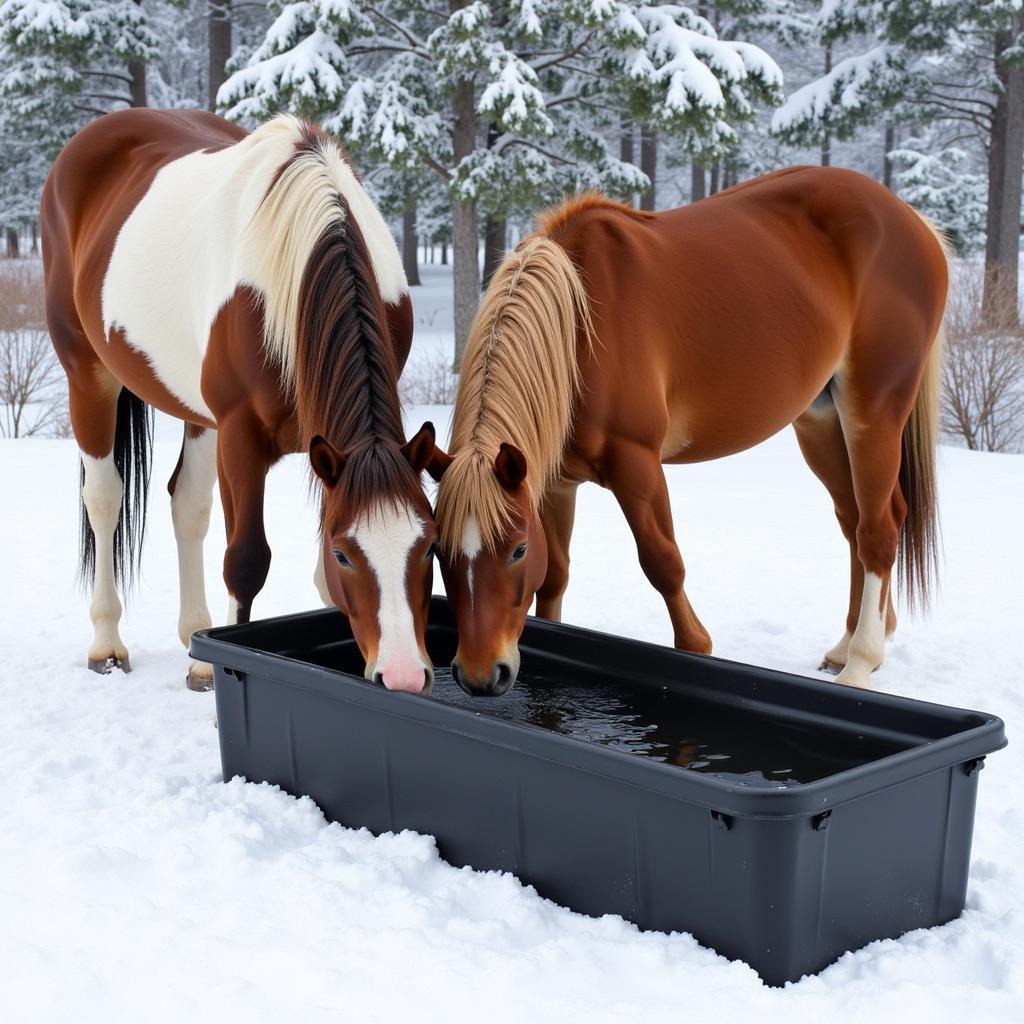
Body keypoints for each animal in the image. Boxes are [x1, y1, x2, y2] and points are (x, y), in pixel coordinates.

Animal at [44, 108, 440, 692]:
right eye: (346, 553)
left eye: (430, 544)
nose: (405, 676)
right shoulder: (241, 435)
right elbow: (247, 560)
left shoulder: (323, 451)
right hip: (87, 375)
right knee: (104, 499)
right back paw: (107, 644)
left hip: (198, 415)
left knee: (187, 502)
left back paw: (196, 645)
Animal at [430, 169, 942, 696]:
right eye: (437, 548)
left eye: (517, 550)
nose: (480, 675)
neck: (578, 325)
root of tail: (911, 219)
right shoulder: (553, 481)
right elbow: (555, 577)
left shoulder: (636, 464)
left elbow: (663, 563)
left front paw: (697, 649)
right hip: (820, 423)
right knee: (854, 521)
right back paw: (852, 642)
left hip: (873, 412)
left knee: (877, 530)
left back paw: (860, 663)